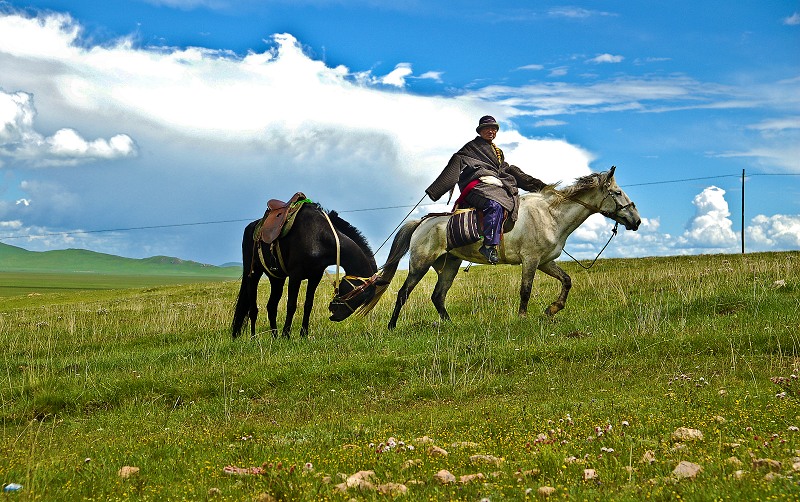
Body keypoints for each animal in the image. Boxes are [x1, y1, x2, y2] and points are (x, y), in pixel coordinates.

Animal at [231, 203, 382, 338]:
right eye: (360, 293)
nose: (336, 316)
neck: (319, 236)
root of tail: (251, 227)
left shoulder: (315, 276)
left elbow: (308, 305)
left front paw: (303, 334)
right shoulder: (295, 275)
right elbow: (291, 305)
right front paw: (286, 335)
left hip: (277, 278)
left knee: (271, 306)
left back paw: (274, 336)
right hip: (253, 274)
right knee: (253, 309)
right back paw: (254, 337)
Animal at [366, 166, 640, 330]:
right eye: (617, 192)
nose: (636, 220)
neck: (551, 216)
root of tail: (422, 222)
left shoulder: (545, 262)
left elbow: (567, 280)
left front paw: (552, 309)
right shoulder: (531, 260)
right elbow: (525, 290)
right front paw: (523, 318)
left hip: (450, 264)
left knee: (438, 296)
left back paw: (452, 325)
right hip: (420, 265)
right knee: (404, 293)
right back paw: (391, 327)